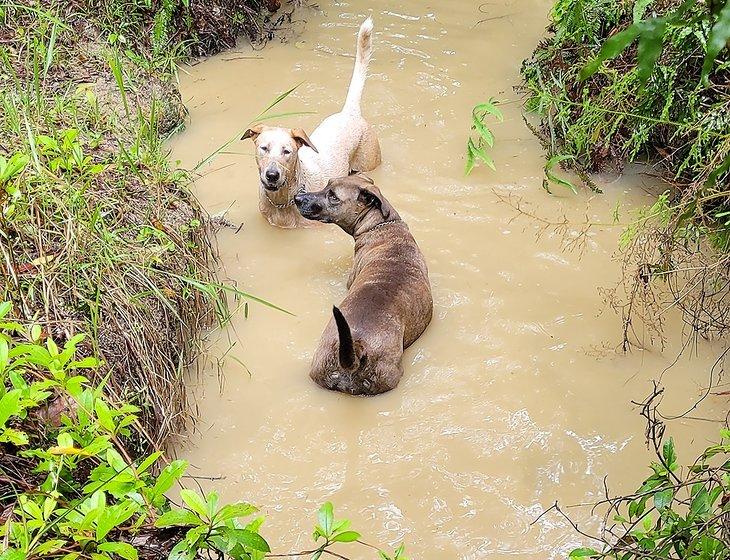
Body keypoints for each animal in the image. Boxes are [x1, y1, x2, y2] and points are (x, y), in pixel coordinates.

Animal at [243, 18, 384, 228]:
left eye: (287, 151)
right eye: (264, 148)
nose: (272, 175)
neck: (282, 200)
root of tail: (350, 112)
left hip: (370, 161)